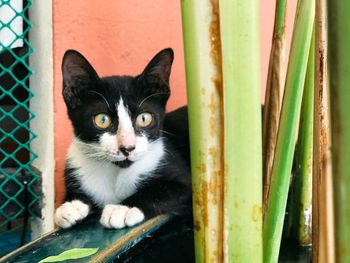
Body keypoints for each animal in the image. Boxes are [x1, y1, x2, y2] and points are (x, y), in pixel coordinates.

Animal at [54, 49, 191, 229]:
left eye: (144, 118)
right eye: (102, 120)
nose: (127, 147)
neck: (115, 172)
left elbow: (158, 190)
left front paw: (122, 208)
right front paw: (71, 206)